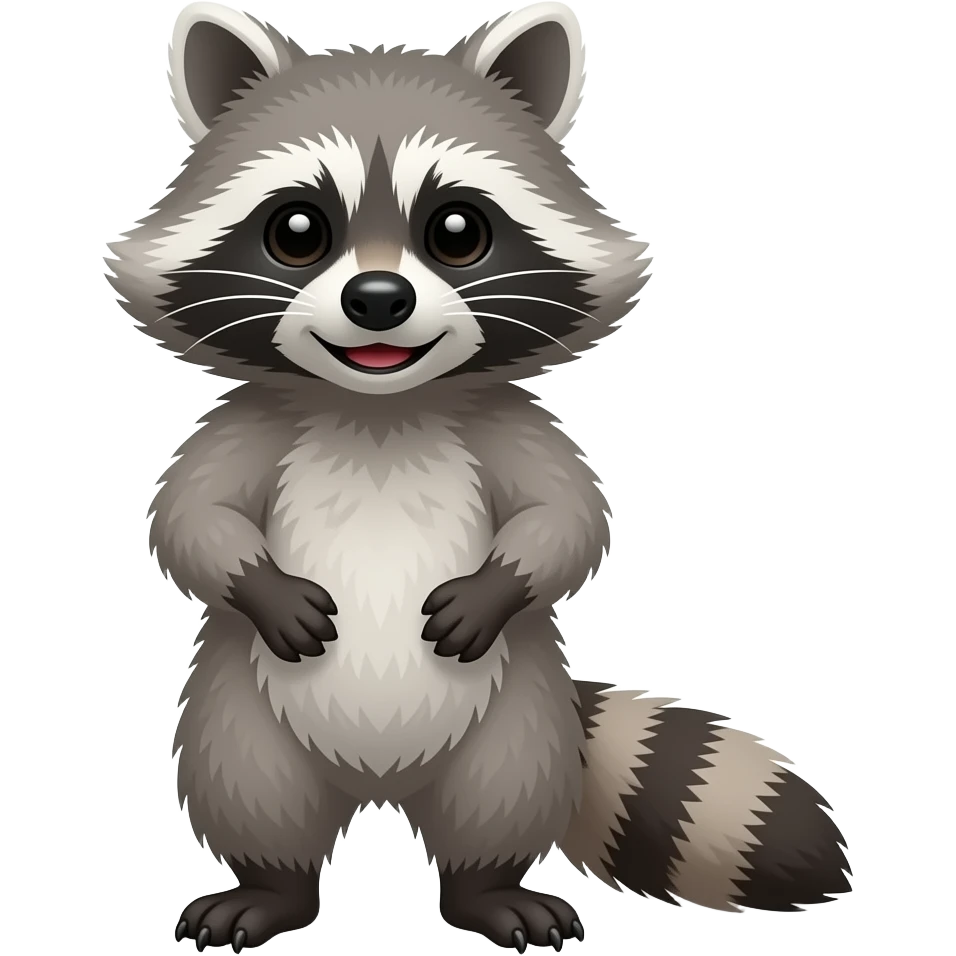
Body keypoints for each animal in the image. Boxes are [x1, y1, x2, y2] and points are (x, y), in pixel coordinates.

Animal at [104, 2, 851, 952]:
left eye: (456, 231)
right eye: (297, 231)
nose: (377, 302)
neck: (379, 405)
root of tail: (380, 786)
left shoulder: (507, 425)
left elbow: (571, 518)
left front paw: (502, 584)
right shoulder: (250, 424)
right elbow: (187, 519)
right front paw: (258, 584)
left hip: (518, 717)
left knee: (499, 799)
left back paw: (487, 889)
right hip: (236, 705)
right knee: (252, 791)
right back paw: (271, 887)